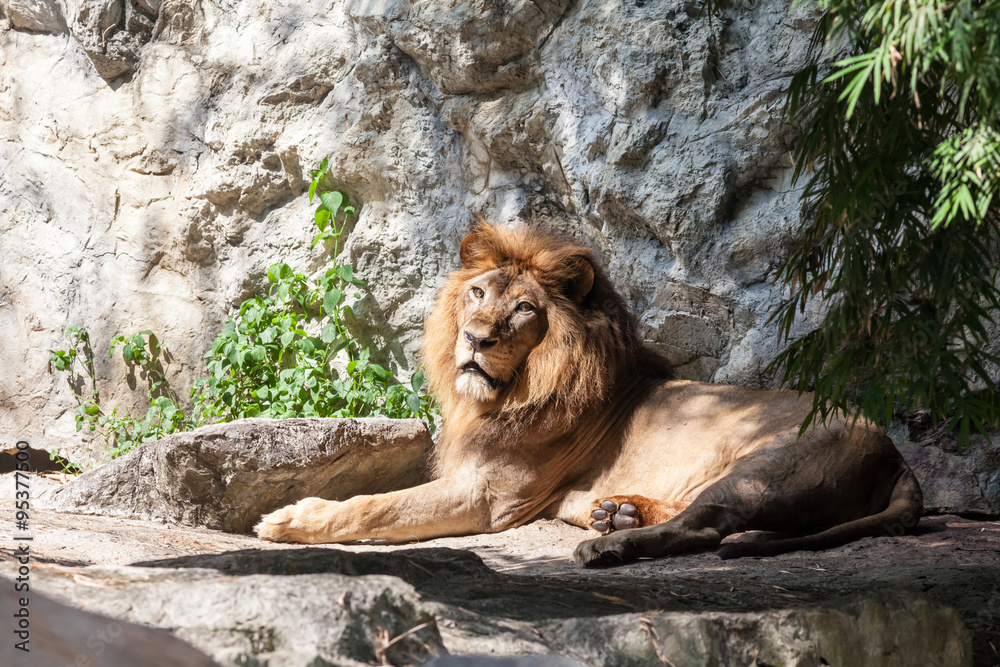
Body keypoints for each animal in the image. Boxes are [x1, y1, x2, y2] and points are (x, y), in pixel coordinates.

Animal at [255, 222, 922, 567]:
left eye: (523, 310)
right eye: (478, 293)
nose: (474, 339)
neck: (508, 392)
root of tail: (896, 453)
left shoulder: (488, 498)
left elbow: (378, 505)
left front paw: (291, 518)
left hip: (765, 467)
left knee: (711, 527)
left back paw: (610, 543)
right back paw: (615, 512)